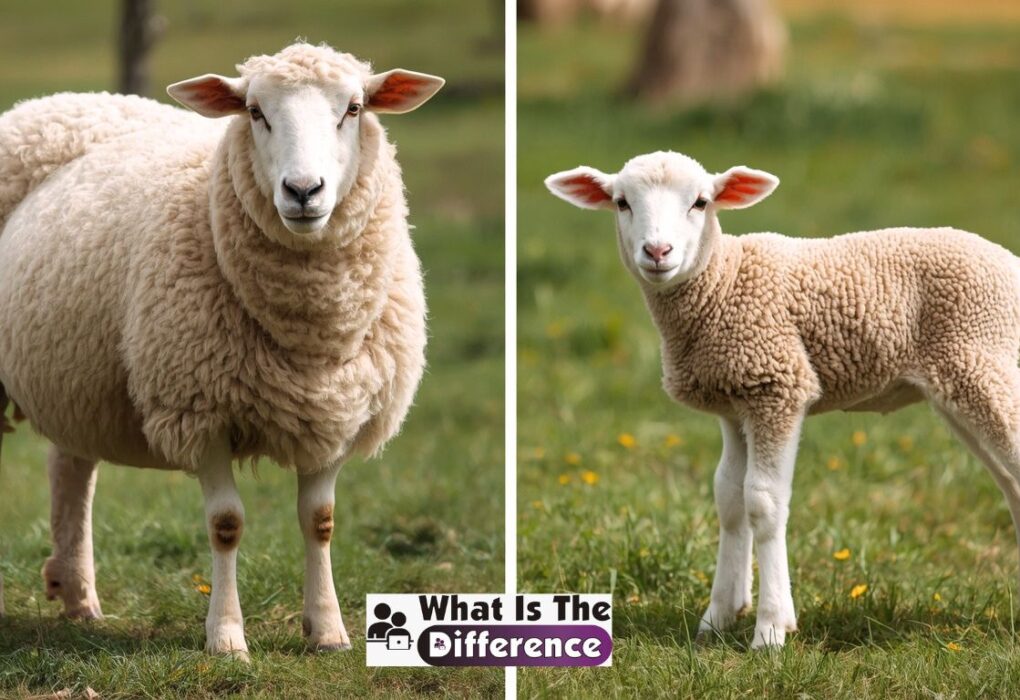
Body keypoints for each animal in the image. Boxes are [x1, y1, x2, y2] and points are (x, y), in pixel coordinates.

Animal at [0, 42, 444, 659]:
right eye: (255, 111)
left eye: (354, 108)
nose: (303, 192)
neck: (309, 333)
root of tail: (61, 100)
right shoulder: (198, 409)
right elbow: (227, 524)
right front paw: (228, 637)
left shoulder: (337, 410)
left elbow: (321, 520)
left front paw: (328, 630)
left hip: (76, 377)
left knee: (71, 468)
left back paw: (79, 598)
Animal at [546, 150, 1020, 648]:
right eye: (622, 203)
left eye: (701, 202)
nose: (657, 252)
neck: (724, 281)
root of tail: (1011, 263)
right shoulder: (733, 403)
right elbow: (728, 498)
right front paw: (719, 616)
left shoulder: (778, 385)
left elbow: (763, 501)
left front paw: (771, 628)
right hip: (965, 383)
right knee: (1012, 485)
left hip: (979, 359)